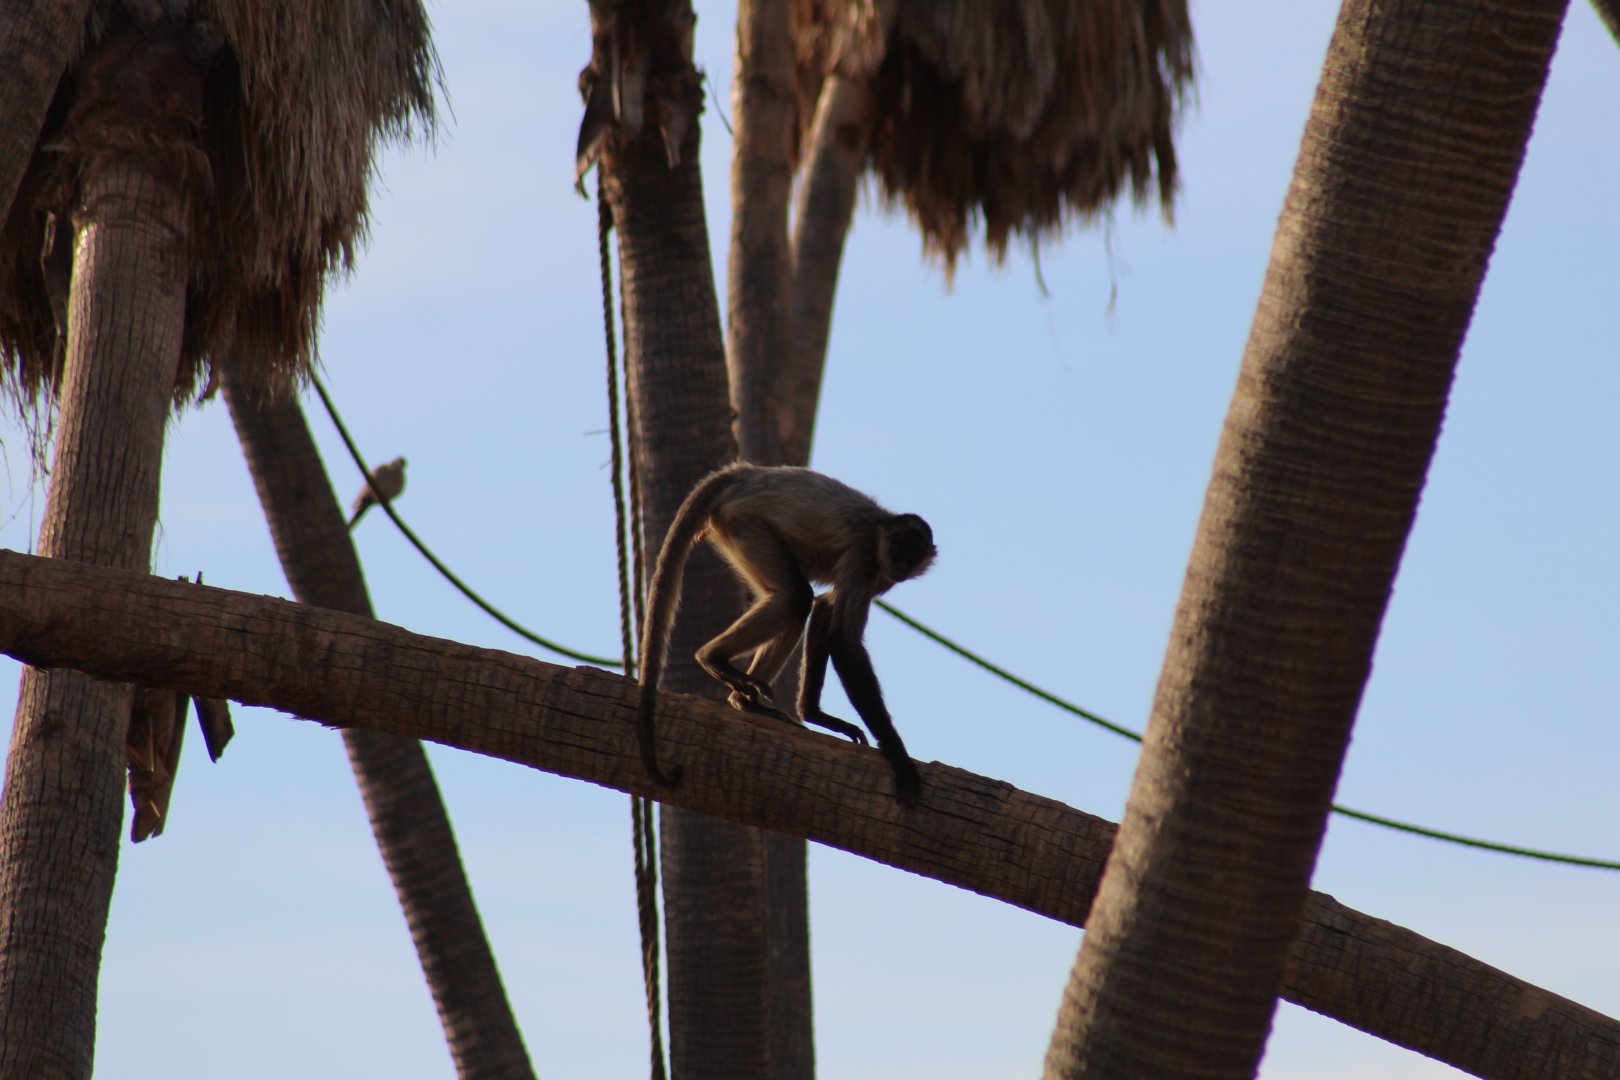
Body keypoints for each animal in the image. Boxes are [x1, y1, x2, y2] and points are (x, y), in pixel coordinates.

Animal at [637, 463, 936, 802]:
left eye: (912, 555)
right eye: (898, 548)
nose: (901, 563)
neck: (878, 533)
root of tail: (744, 473)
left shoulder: (881, 575)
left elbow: (825, 610)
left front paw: (815, 715)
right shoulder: (865, 556)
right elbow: (842, 640)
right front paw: (896, 752)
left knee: (799, 601)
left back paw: (745, 702)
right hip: (744, 523)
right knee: (796, 596)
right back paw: (713, 659)